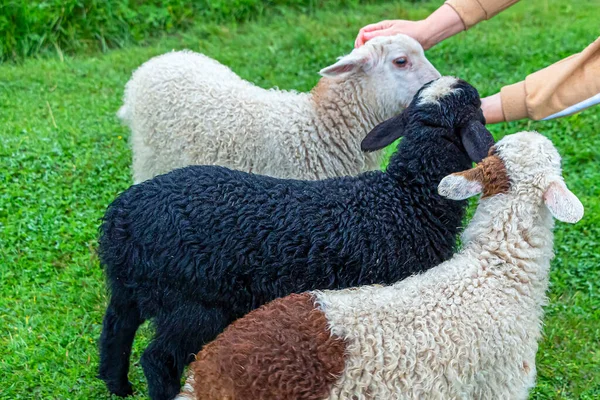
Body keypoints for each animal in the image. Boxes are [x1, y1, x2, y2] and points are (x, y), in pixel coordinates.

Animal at [97, 76, 492, 400]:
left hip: (133, 287)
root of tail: (121, 217)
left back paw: (118, 386)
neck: (407, 198)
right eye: (474, 102)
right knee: (157, 359)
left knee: (116, 330)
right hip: (191, 303)